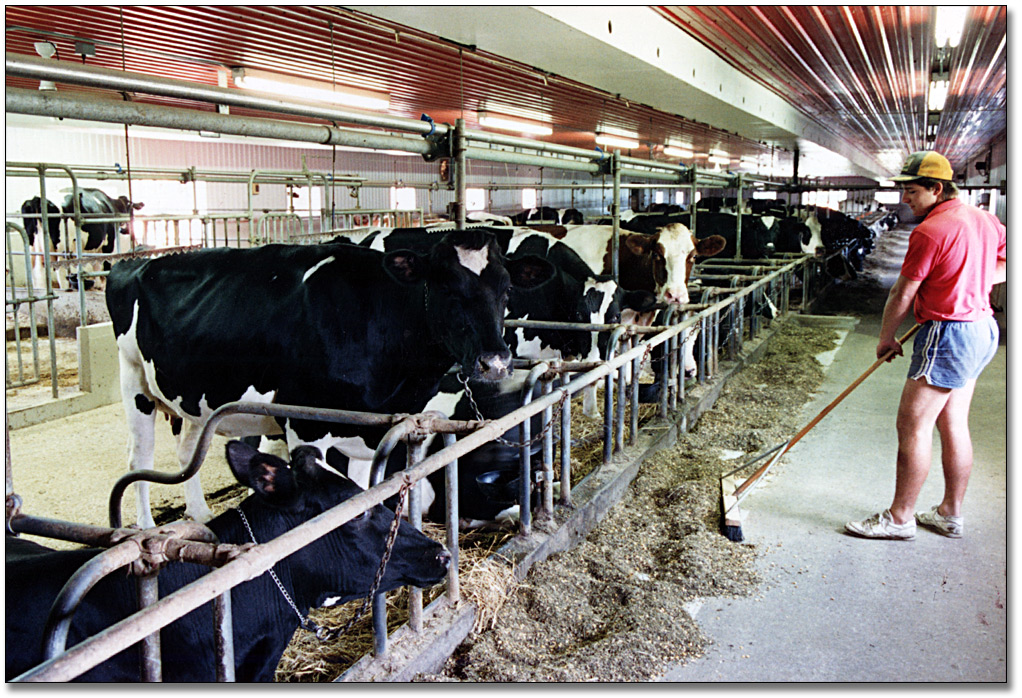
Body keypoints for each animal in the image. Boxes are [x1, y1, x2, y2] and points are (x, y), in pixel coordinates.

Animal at [104, 228, 523, 531]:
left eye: (507, 289)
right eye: (446, 287)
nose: (495, 362)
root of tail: (132, 261)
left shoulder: (372, 428)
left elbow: (362, 493)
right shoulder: (305, 425)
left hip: (191, 397)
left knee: (186, 451)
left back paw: (201, 514)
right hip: (133, 380)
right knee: (138, 457)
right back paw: (144, 527)